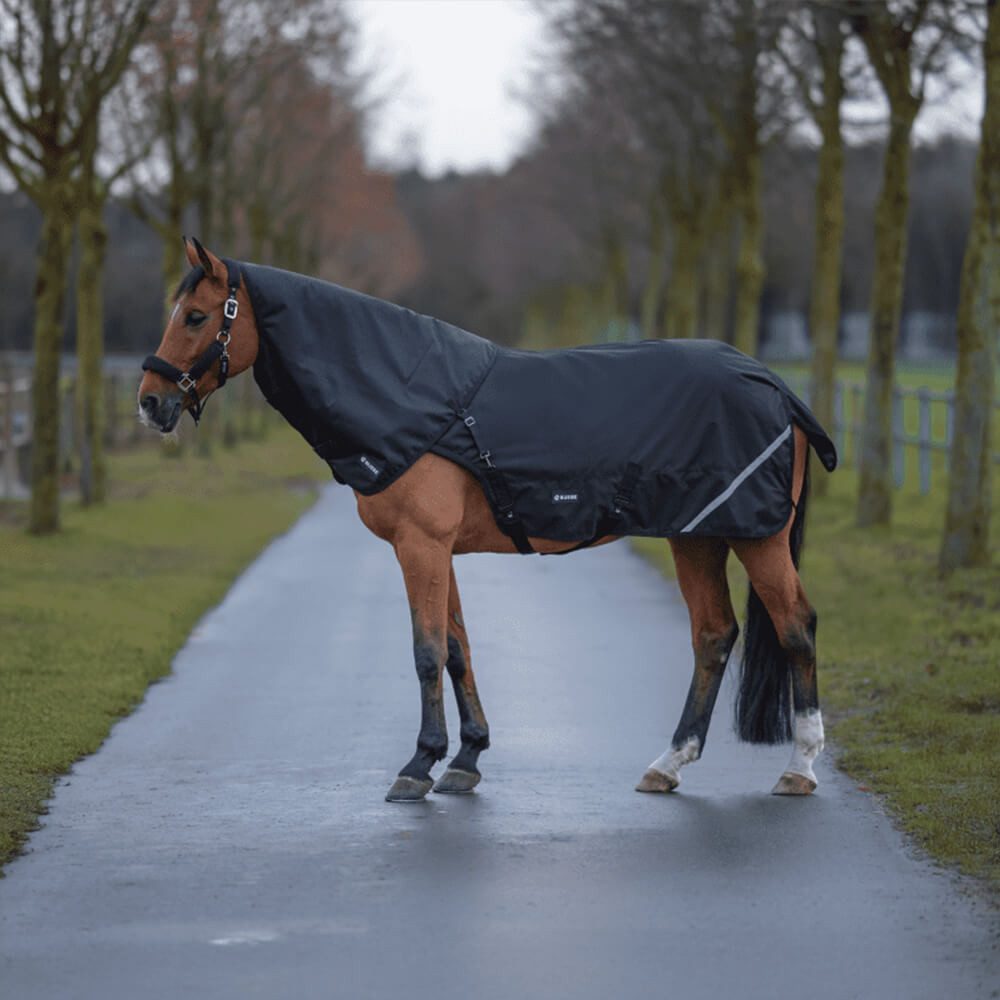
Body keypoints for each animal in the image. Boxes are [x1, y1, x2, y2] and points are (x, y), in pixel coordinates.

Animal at [138, 237, 834, 804]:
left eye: (197, 316)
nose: (150, 402)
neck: (411, 396)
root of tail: (773, 384)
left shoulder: (420, 545)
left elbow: (425, 651)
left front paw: (418, 765)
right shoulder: (436, 550)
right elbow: (457, 647)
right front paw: (466, 758)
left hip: (756, 536)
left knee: (795, 626)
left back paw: (798, 768)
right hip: (698, 535)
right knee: (713, 635)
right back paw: (669, 763)